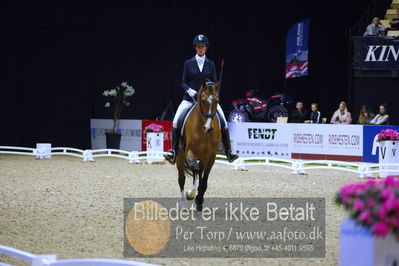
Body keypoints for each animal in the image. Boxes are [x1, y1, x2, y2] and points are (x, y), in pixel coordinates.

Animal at [177, 80, 223, 211]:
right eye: (203, 101)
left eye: (217, 101)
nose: (208, 127)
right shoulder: (189, 153)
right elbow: (195, 171)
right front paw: (190, 194)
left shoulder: (211, 157)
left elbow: (204, 181)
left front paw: (199, 200)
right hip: (180, 156)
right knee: (182, 178)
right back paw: (183, 203)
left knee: (198, 171)